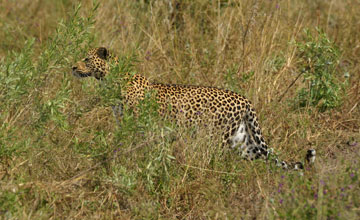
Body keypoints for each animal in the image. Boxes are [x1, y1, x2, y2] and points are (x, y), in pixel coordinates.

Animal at [71, 46, 316, 170]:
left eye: (87, 59)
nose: (73, 66)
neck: (111, 80)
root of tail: (245, 99)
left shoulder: (139, 125)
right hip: (243, 142)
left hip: (216, 138)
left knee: (215, 160)